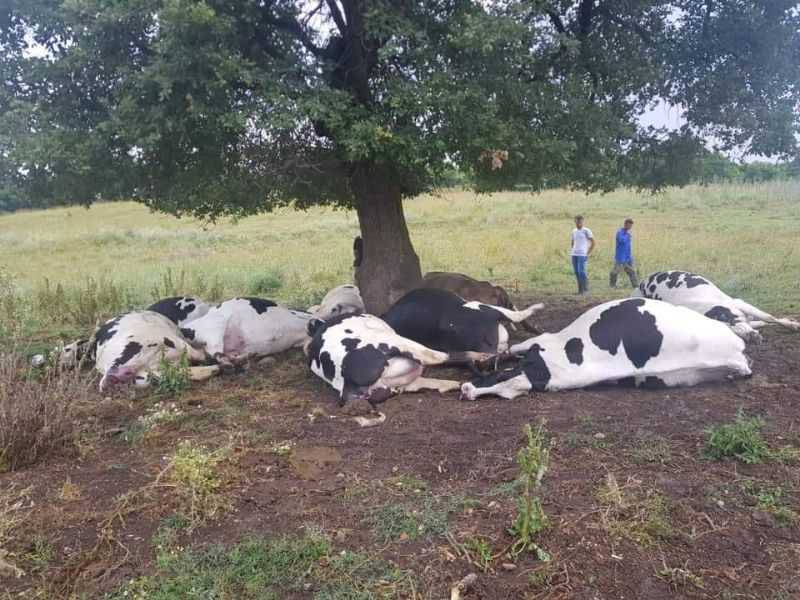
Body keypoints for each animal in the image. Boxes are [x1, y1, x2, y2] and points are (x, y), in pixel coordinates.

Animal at [180, 296, 312, 366]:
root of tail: (186, 328)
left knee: (219, 354)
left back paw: (246, 356)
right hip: (216, 326)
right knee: (216, 353)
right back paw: (231, 362)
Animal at [632, 270, 800, 342]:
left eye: (728, 319)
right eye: (726, 332)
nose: (750, 337)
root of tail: (642, 283)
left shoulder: (739, 303)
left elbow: (768, 317)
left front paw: (794, 325)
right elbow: (763, 322)